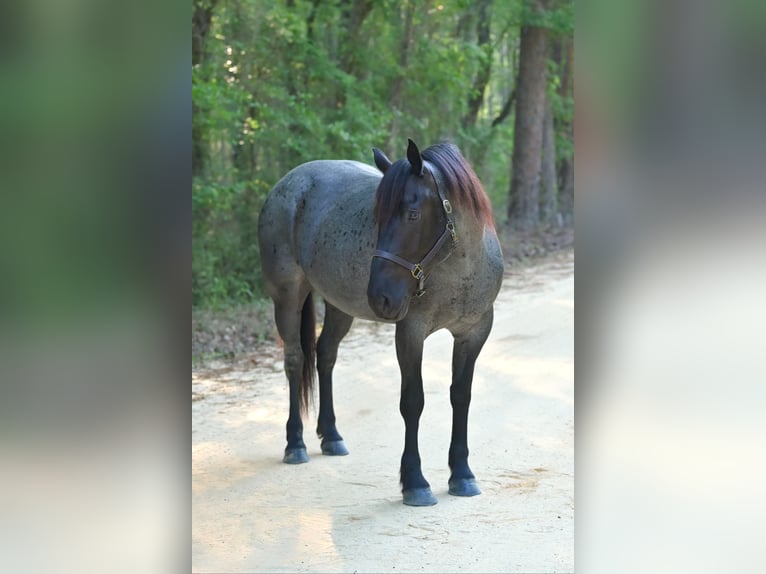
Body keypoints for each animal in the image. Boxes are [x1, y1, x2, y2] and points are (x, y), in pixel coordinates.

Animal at [258, 139, 504, 506]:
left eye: (412, 215)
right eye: (377, 217)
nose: (380, 297)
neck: (460, 271)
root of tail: (286, 183)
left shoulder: (473, 333)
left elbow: (461, 396)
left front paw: (462, 474)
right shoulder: (410, 334)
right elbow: (413, 401)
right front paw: (415, 482)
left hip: (339, 306)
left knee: (325, 355)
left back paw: (331, 436)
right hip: (287, 298)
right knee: (295, 360)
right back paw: (295, 443)